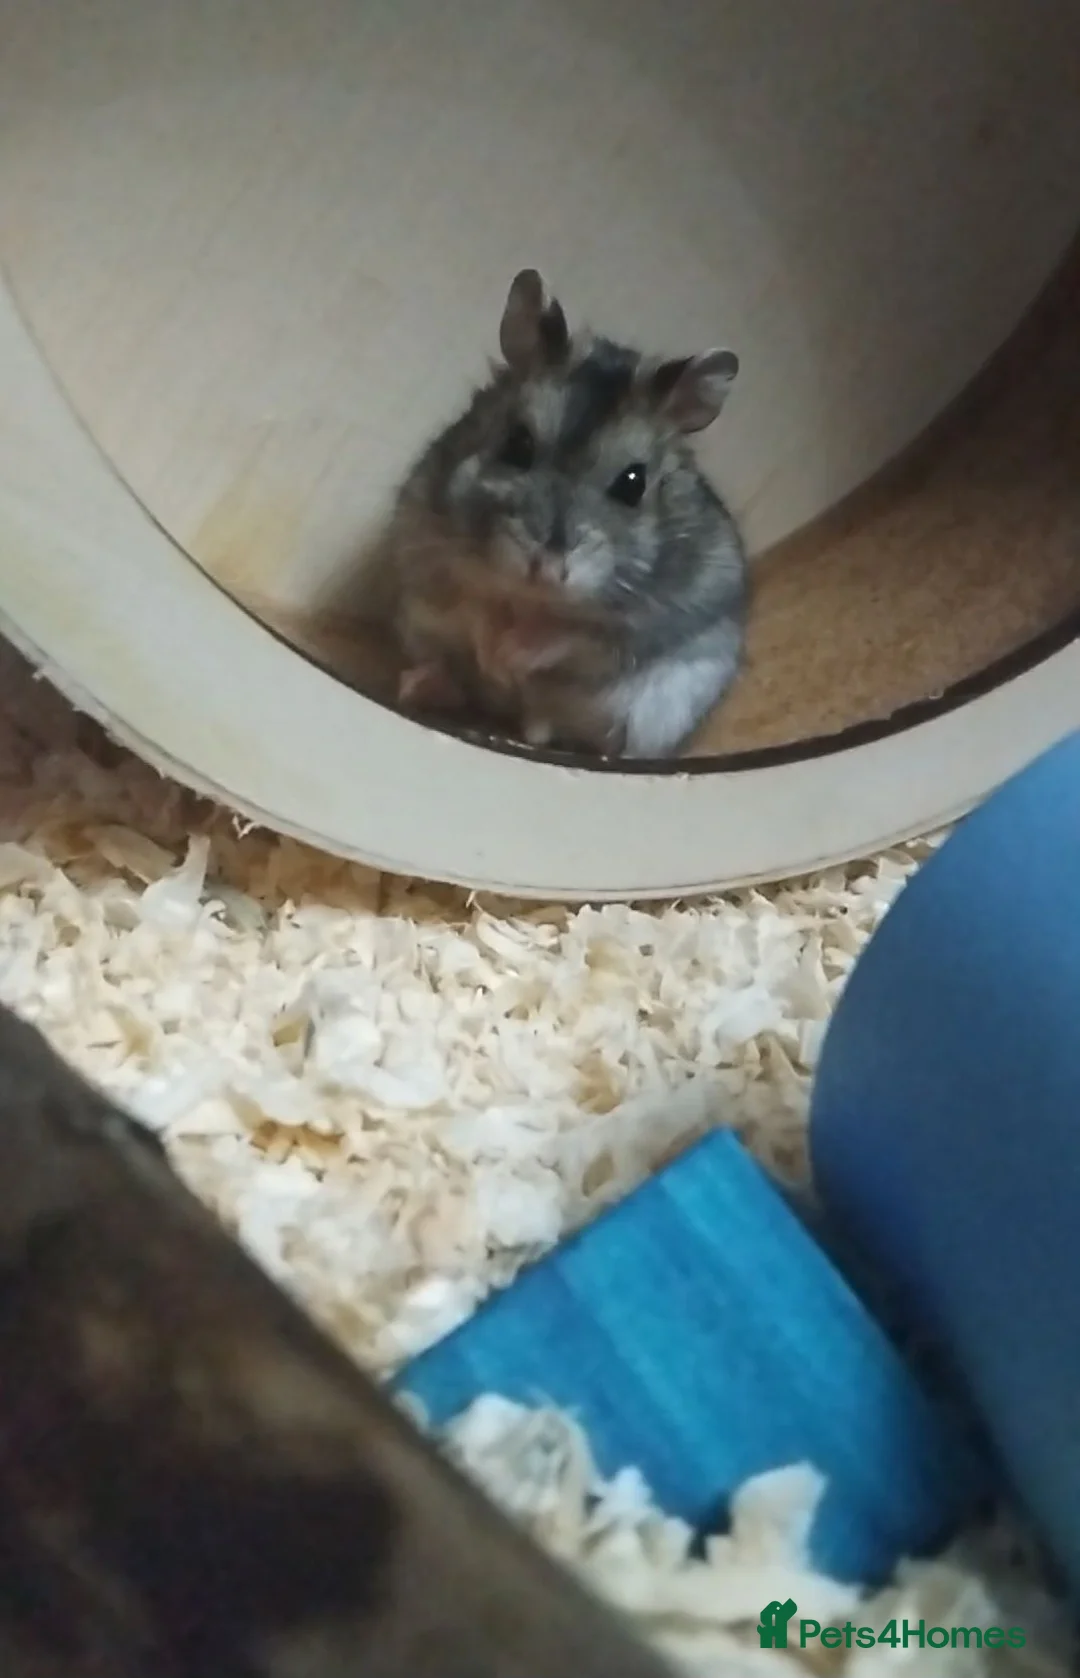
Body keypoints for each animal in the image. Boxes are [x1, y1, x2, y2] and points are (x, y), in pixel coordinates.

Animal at [362, 268, 748, 758]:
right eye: (517, 444)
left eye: (634, 484)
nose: (545, 566)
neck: (530, 600)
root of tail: (525, 719)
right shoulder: (423, 551)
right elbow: (473, 607)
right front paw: (493, 656)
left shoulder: (652, 619)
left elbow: (573, 636)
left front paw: (510, 657)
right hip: (420, 629)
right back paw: (420, 685)